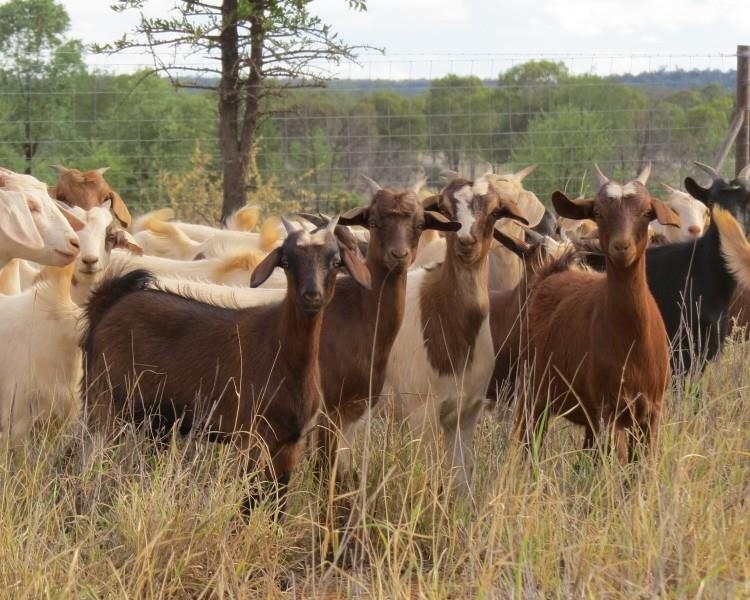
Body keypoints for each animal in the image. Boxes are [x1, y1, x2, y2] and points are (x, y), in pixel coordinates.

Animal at [81, 217, 371, 511]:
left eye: (336, 261)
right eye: (287, 261)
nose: (312, 295)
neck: (283, 355)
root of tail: (107, 305)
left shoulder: (290, 444)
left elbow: (277, 505)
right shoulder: (250, 439)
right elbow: (247, 503)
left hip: (157, 420)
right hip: (104, 403)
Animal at [385, 173, 528, 493]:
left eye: (494, 212)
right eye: (445, 211)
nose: (466, 241)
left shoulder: (467, 412)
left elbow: (463, 477)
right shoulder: (420, 411)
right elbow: (422, 473)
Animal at [516, 164, 680, 460]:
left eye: (646, 212)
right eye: (599, 213)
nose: (621, 246)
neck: (632, 341)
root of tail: (552, 272)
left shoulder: (650, 412)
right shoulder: (606, 411)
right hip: (533, 392)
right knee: (529, 442)